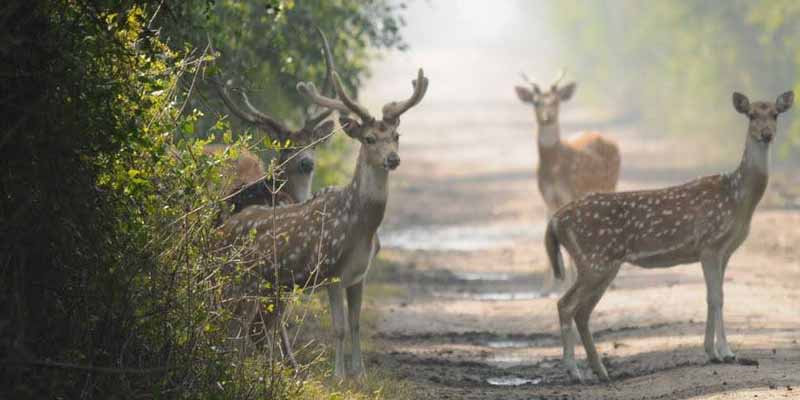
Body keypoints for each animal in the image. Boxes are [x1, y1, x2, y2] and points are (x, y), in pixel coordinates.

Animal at [219, 29, 432, 380]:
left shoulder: (359, 275)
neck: (361, 227)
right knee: (236, 325)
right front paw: (339, 376)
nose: (393, 159)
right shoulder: (331, 269)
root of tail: (222, 229)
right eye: (369, 139)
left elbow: (356, 325)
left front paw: (360, 374)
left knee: (251, 327)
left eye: (396, 136)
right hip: (242, 277)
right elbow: (339, 327)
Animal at [544, 90, 792, 382]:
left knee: (582, 311)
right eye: (752, 114)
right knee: (565, 305)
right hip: (594, 259)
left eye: (775, 114)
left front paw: (713, 352)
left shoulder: (725, 251)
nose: (767, 134)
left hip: (603, 265)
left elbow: (716, 296)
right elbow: (715, 298)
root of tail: (556, 219)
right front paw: (725, 352)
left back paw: (601, 371)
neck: (738, 198)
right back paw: (574, 372)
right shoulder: (709, 243)